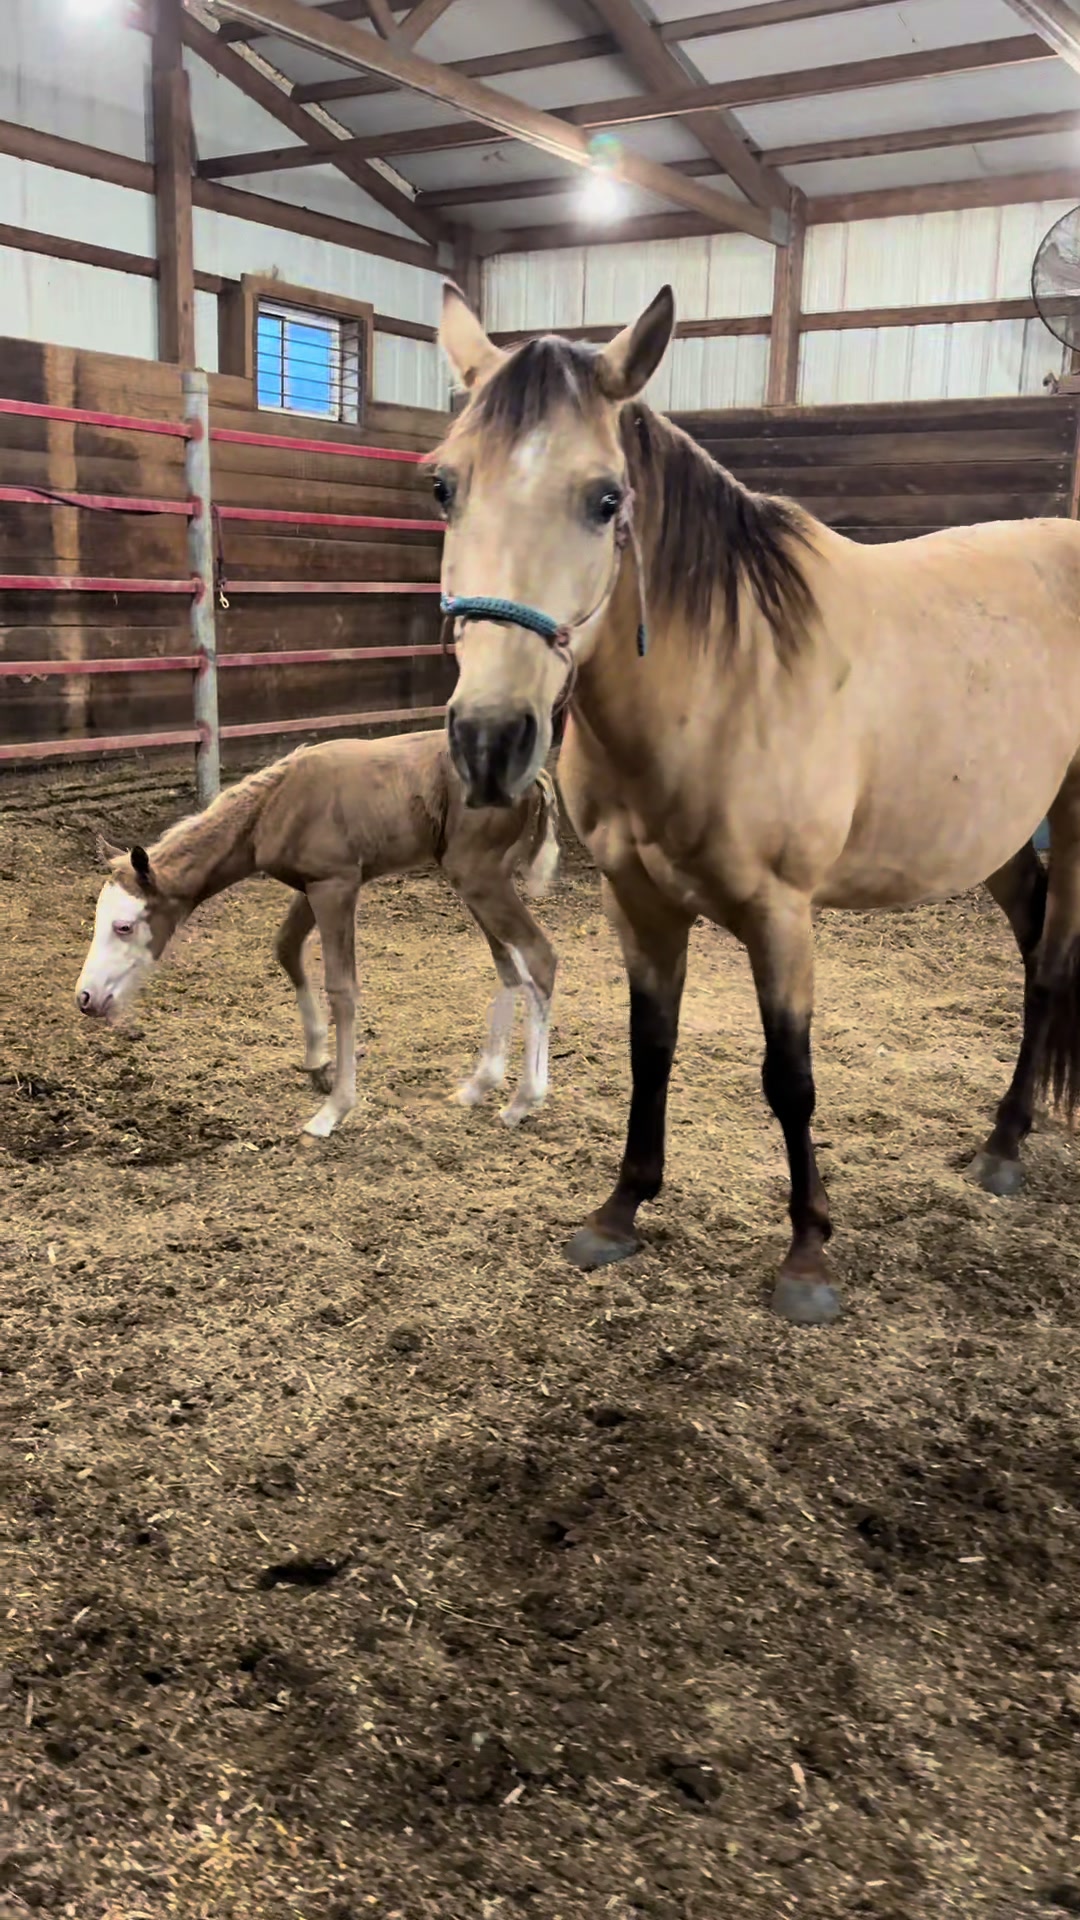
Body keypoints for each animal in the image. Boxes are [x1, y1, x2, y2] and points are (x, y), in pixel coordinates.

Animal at [75, 731, 560, 1137]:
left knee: (539, 957)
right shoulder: (309, 888)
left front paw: (333, 1110)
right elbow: (287, 949)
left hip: (479, 878)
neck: (277, 804)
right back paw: (479, 1086)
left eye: (124, 926)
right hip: (475, 882)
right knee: (508, 964)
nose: (85, 998)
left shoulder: (336, 886)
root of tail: (534, 778)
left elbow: (342, 989)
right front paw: (318, 1063)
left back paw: (522, 1101)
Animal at [432, 279, 1080, 1326]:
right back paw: (1005, 1134)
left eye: (606, 499)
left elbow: (791, 1079)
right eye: (444, 487)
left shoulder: (782, 916)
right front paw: (620, 1210)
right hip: (995, 836)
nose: (491, 742)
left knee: (1055, 963)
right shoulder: (637, 901)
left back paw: (1007, 1148)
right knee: (1031, 951)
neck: (723, 680)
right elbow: (649, 1046)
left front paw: (808, 1255)